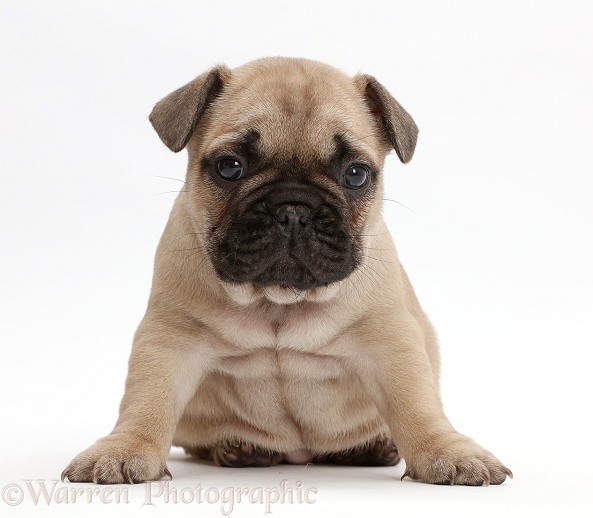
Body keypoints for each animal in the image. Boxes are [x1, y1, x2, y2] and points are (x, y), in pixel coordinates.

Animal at [63, 57, 508, 488]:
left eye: (355, 174)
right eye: (230, 167)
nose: (293, 209)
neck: (277, 299)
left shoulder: (391, 342)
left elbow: (416, 404)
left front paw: (446, 452)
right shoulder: (170, 340)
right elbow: (146, 400)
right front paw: (124, 448)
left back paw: (373, 446)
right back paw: (238, 447)